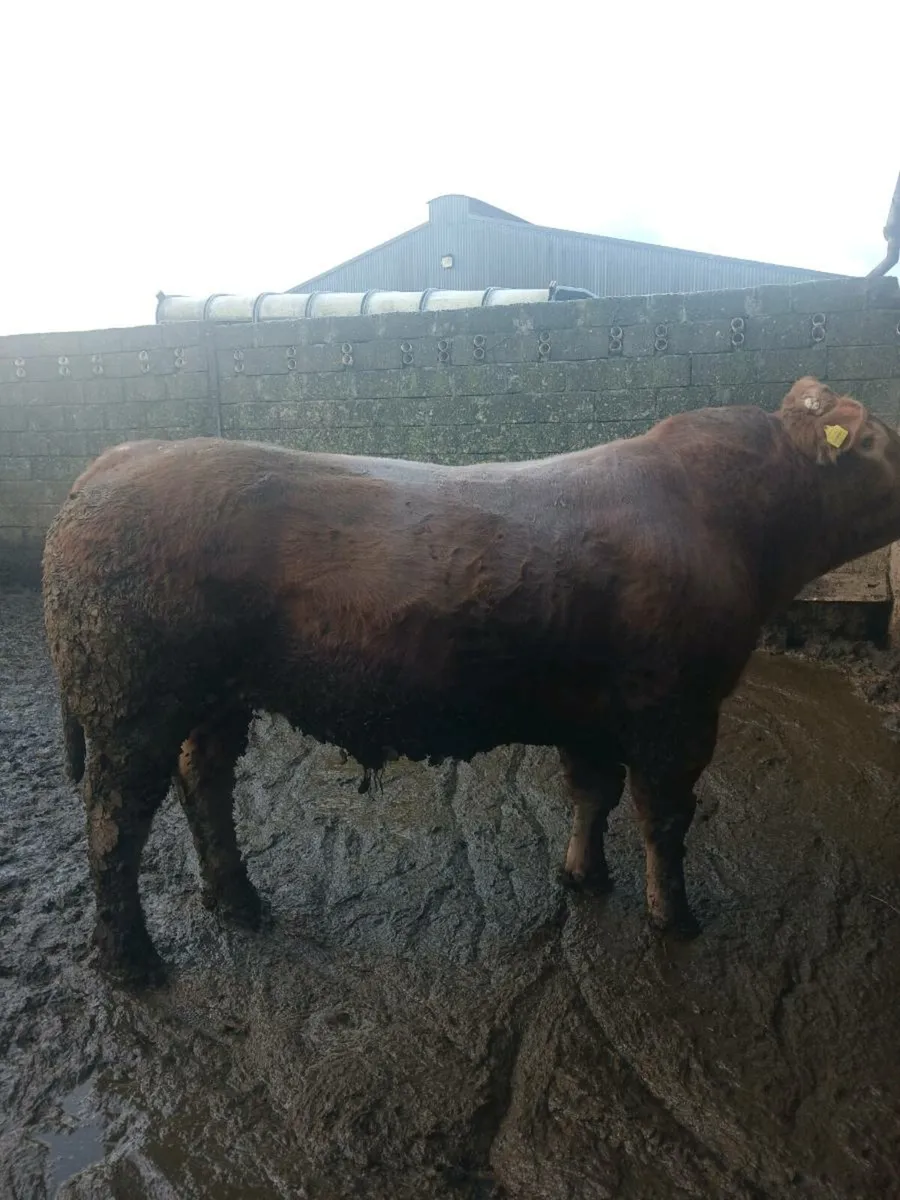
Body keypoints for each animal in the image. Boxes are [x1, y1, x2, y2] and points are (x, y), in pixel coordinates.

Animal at [41, 377, 900, 987]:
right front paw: (675, 918)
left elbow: (592, 792)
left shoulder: (594, 711)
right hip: (130, 705)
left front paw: (583, 877)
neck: (727, 521)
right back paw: (134, 963)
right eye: (880, 442)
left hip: (215, 700)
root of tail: (116, 458)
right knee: (115, 827)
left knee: (204, 786)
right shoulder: (676, 710)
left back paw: (239, 903)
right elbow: (664, 819)